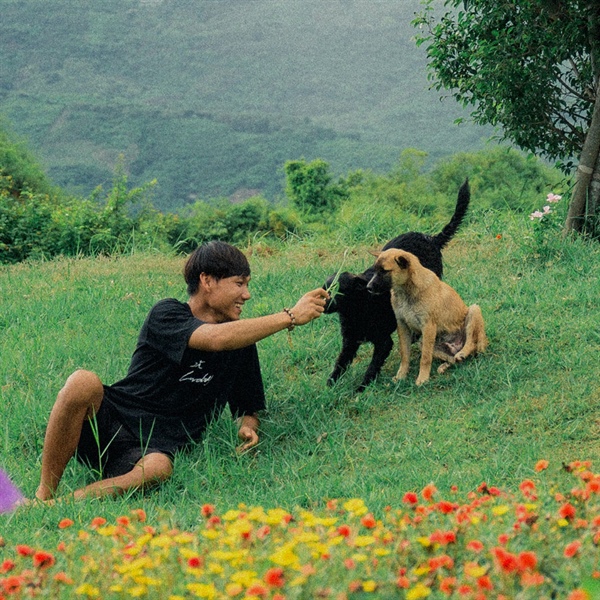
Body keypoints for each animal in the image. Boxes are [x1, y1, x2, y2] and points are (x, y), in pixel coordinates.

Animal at [324, 178, 468, 392]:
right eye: (323, 290)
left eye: (339, 291)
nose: (323, 306)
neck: (360, 308)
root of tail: (431, 238)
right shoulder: (350, 341)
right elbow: (340, 364)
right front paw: (330, 385)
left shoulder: (383, 342)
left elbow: (372, 367)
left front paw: (362, 388)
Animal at [366, 247, 488, 384]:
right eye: (375, 271)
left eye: (384, 271)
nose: (368, 287)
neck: (406, 292)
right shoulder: (402, 326)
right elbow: (405, 355)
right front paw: (401, 375)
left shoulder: (428, 327)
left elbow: (425, 358)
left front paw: (422, 379)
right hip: (425, 344)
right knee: (453, 360)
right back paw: (446, 365)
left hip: (474, 310)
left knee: (472, 342)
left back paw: (463, 352)